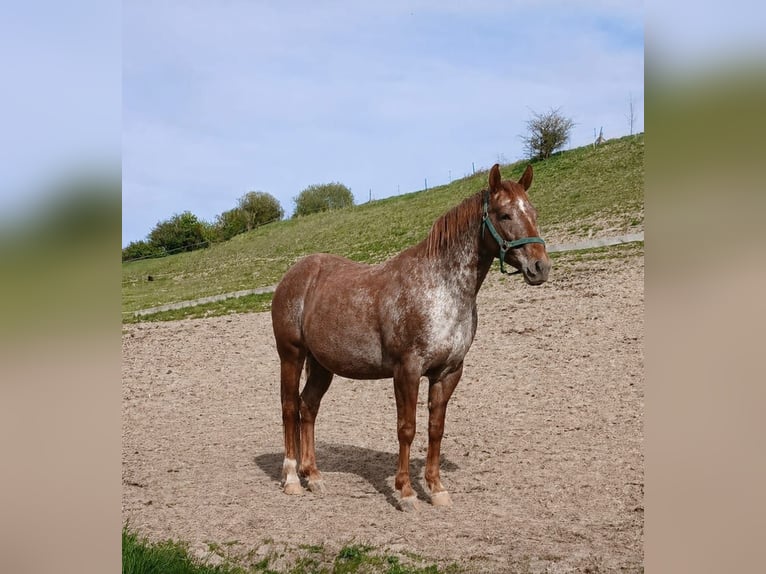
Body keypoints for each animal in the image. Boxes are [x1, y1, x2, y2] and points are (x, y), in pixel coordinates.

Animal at [270, 163, 551, 511]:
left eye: (533, 212)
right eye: (504, 215)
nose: (540, 267)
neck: (440, 289)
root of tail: (295, 275)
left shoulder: (448, 372)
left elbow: (435, 429)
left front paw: (437, 488)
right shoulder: (407, 370)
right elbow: (407, 428)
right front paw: (406, 492)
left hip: (322, 365)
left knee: (307, 408)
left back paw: (313, 475)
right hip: (291, 356)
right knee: (289, 408)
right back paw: (292, 479)